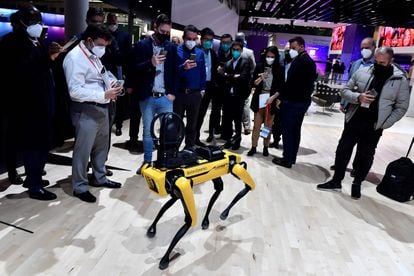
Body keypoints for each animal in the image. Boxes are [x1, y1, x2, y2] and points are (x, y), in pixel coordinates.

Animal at [142, 112, 256, 270]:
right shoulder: (181, 186)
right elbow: (185, 217)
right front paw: (164, 255)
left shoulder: (181, 185)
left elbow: (188, 218)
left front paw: (165, 258)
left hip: (229, 169)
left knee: (240, 186)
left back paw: (217, 216)